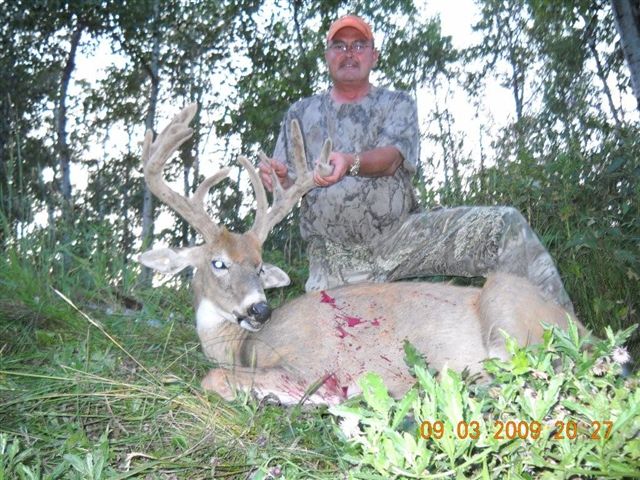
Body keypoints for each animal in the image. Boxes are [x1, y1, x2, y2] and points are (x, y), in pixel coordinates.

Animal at [139, 104, 585, 405]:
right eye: (218, 262)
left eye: (259, 265)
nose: (259, 309)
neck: (242, 347)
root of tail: (585, 329)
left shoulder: (305, 360)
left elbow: (214, 378)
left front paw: (308, 396)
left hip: (505, 302)